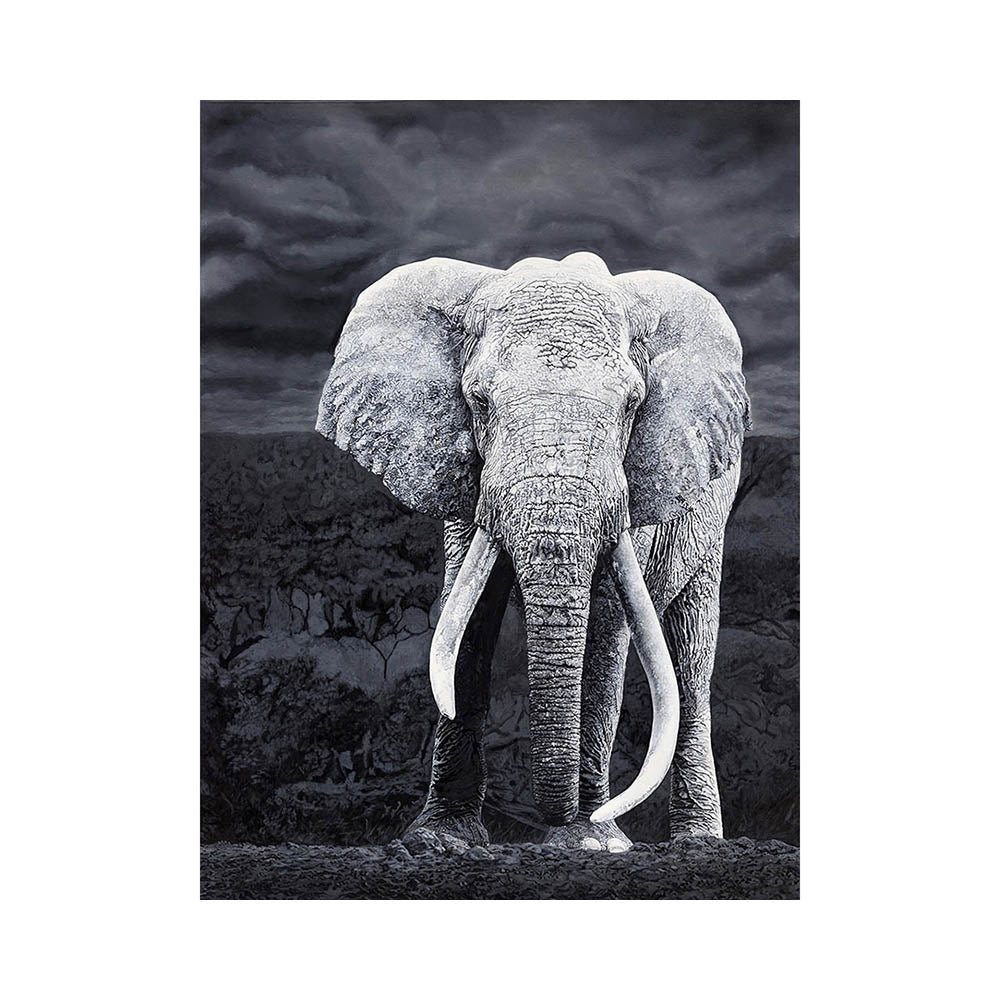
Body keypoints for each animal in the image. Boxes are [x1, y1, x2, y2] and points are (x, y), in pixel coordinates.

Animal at [316, 251, 750, 853]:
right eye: (478, 401)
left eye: (634, 405)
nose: (566, 818)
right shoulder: (468, 478)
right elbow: (468, 617)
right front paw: (437, 841)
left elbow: (605, 629)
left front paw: (590, 843)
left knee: (689, 661)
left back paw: (699, 846)